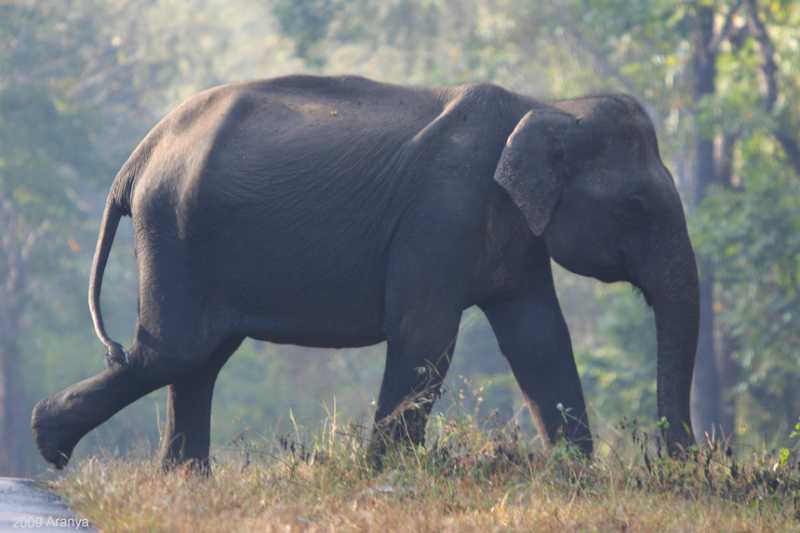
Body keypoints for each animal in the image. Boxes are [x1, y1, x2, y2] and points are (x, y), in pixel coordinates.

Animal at [31, 74, 699, 473]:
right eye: (636, 208)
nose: (681, 464)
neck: (545, 107)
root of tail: (139, 156)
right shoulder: (442, 213)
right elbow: (425, 337)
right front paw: (384, 476)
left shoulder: (512, 237)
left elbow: (539, 340)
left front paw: (576, 478)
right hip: (174, 226)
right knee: (173, 351)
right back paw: (50, 445)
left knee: (198, 359)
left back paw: (179, 482)